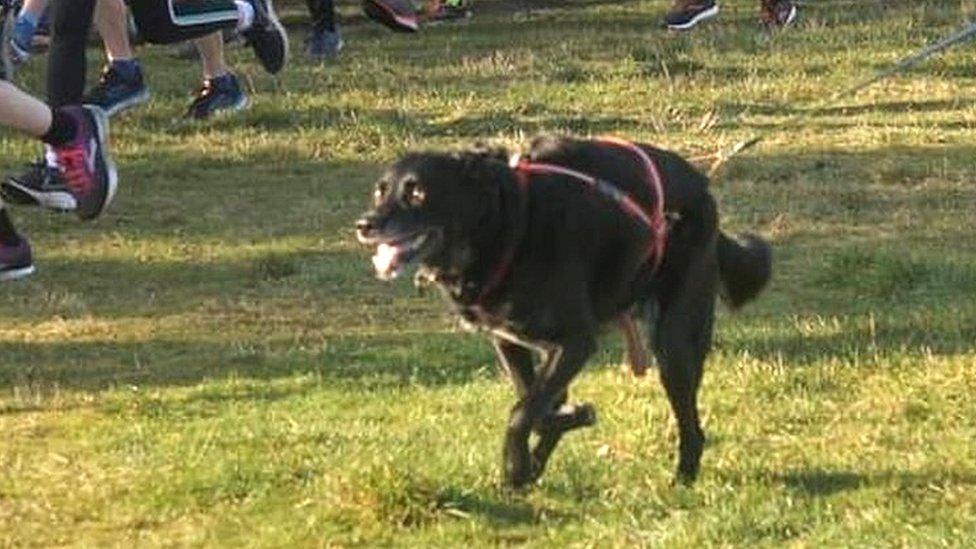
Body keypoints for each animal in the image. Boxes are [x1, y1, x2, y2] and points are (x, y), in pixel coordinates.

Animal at [354, 135, 772, 486]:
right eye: (379, 191)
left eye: (418, 192)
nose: (365, 224)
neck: (508, 226)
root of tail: (702, 187)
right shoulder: (512, 344)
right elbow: (535, 407)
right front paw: (554, 437)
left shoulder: (575, 342)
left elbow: (521, 413)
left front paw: (517, 466)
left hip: (675, 344)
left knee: (693, 427)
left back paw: (682, 479)